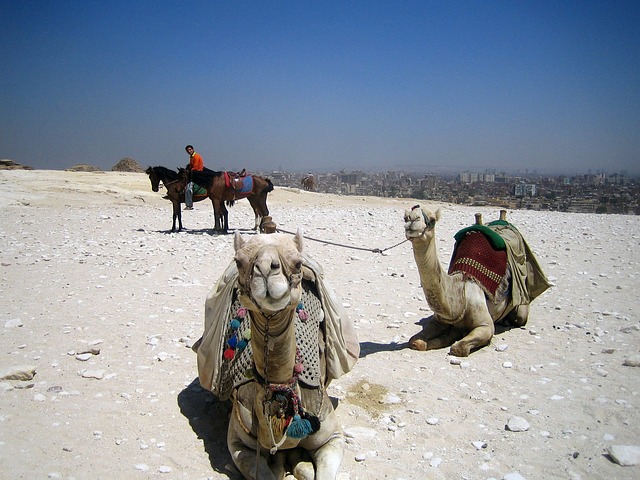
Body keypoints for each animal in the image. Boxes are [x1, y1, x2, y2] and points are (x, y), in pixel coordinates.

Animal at [404, 204, 552, 358]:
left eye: (432, 219)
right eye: (405, 217)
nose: (412, 219)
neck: (459, 293)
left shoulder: (486, 326)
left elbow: (459, 347)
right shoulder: (439, 320)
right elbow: (416, 341)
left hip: (522, 300)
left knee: (520, 316)